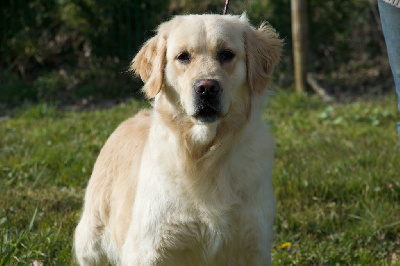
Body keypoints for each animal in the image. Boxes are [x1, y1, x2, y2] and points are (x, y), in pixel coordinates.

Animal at [74, 13, 282, 264]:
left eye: (226, 54)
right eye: (183, 56)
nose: (207, 88)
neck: (203, 155)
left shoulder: (253, 244)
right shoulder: (148, 249)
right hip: (91, 241)